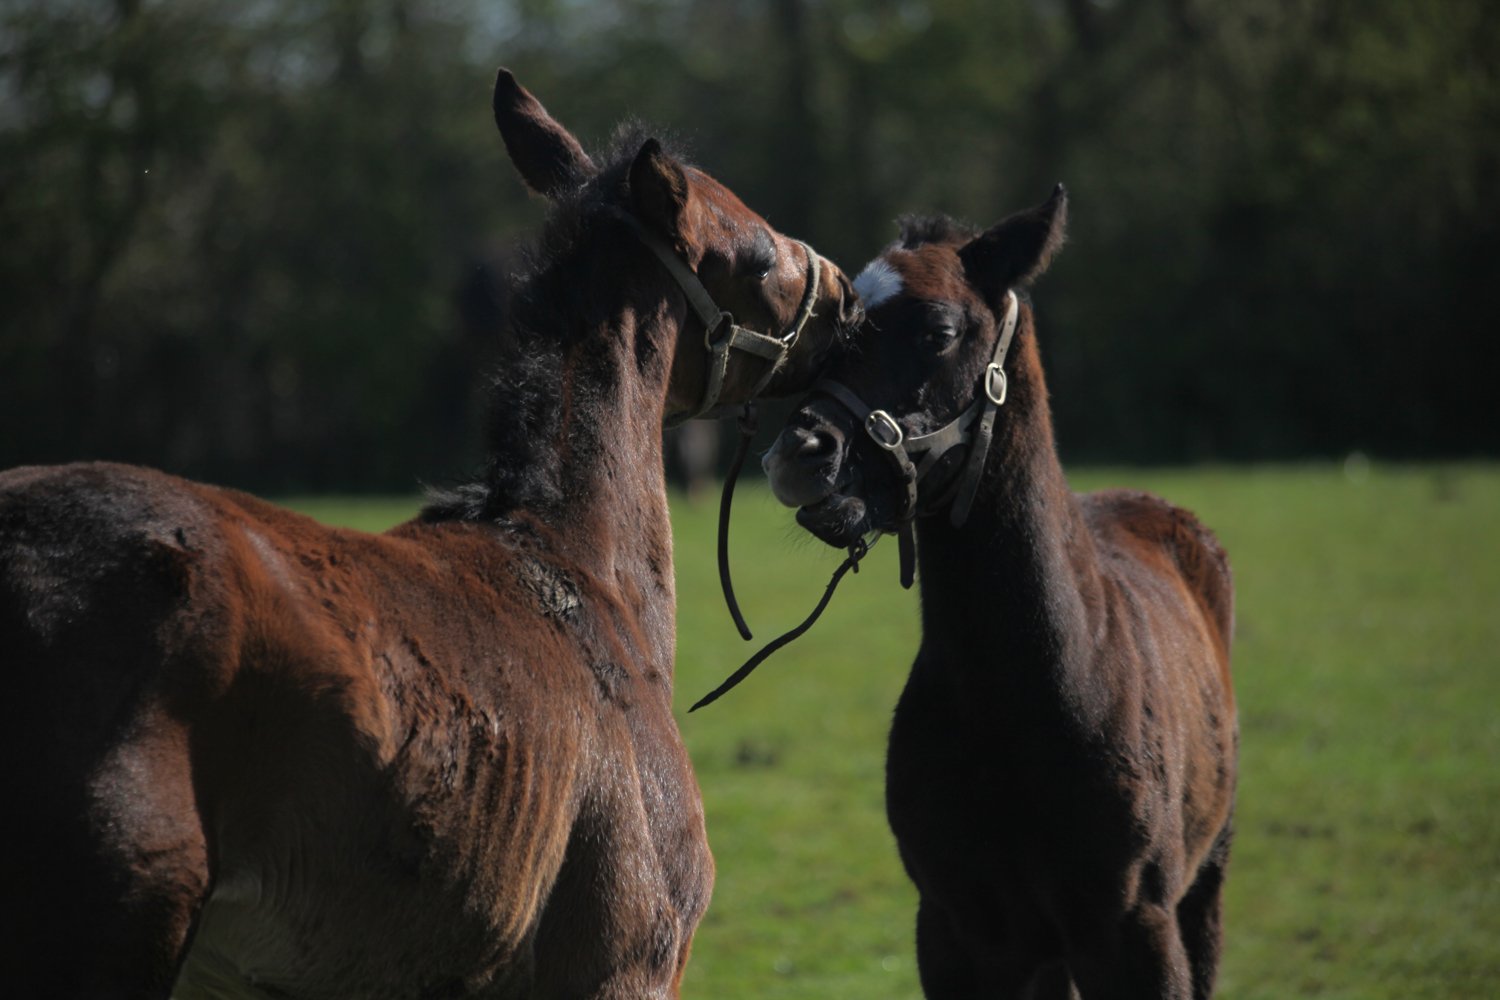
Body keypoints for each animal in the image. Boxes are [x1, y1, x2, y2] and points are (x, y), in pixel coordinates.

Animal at [761, 187, 1237, 999]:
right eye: (839, 330)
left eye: (940, 331)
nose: (798, 453)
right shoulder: (958, 934)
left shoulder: (1136, 931)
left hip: (1203, 889)